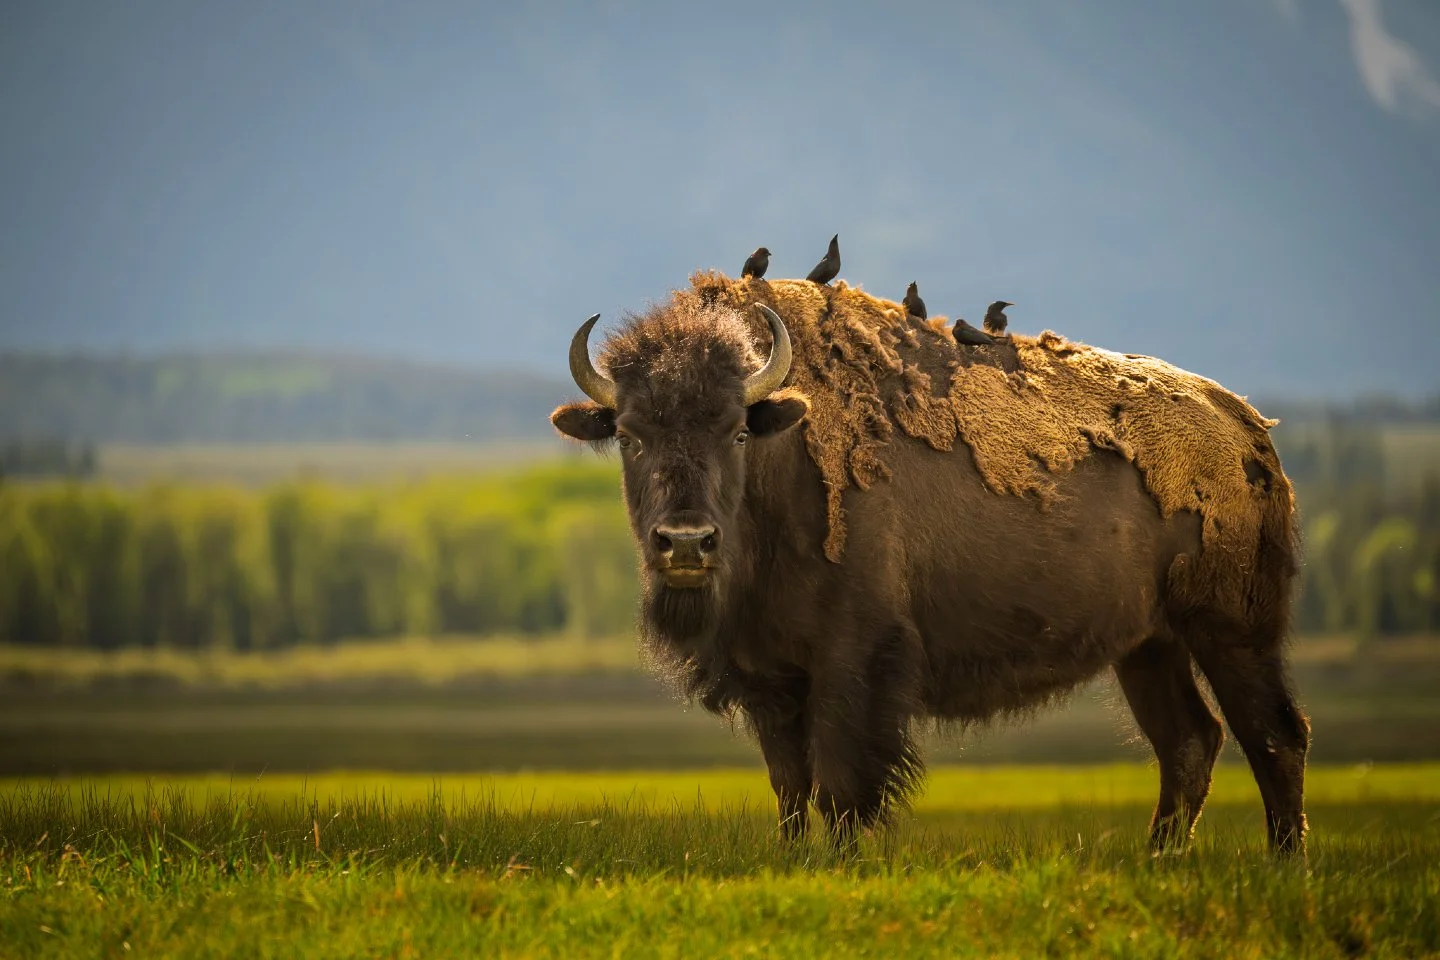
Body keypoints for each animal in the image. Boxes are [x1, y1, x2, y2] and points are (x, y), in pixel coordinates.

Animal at [550, 275, 1309, 856]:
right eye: (630, 435)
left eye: (737, 430)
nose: (685, 543)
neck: (780, 460)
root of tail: (1244, 424)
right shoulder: (770, 677)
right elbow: (791, 786)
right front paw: (793, 859)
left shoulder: (853, 662)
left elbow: (841, 783)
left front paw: (845, 862)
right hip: (1148, 645)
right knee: (1189, 742)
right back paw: (1160, 857)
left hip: (1232, 632)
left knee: (1273, 736)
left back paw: (1282, 863)